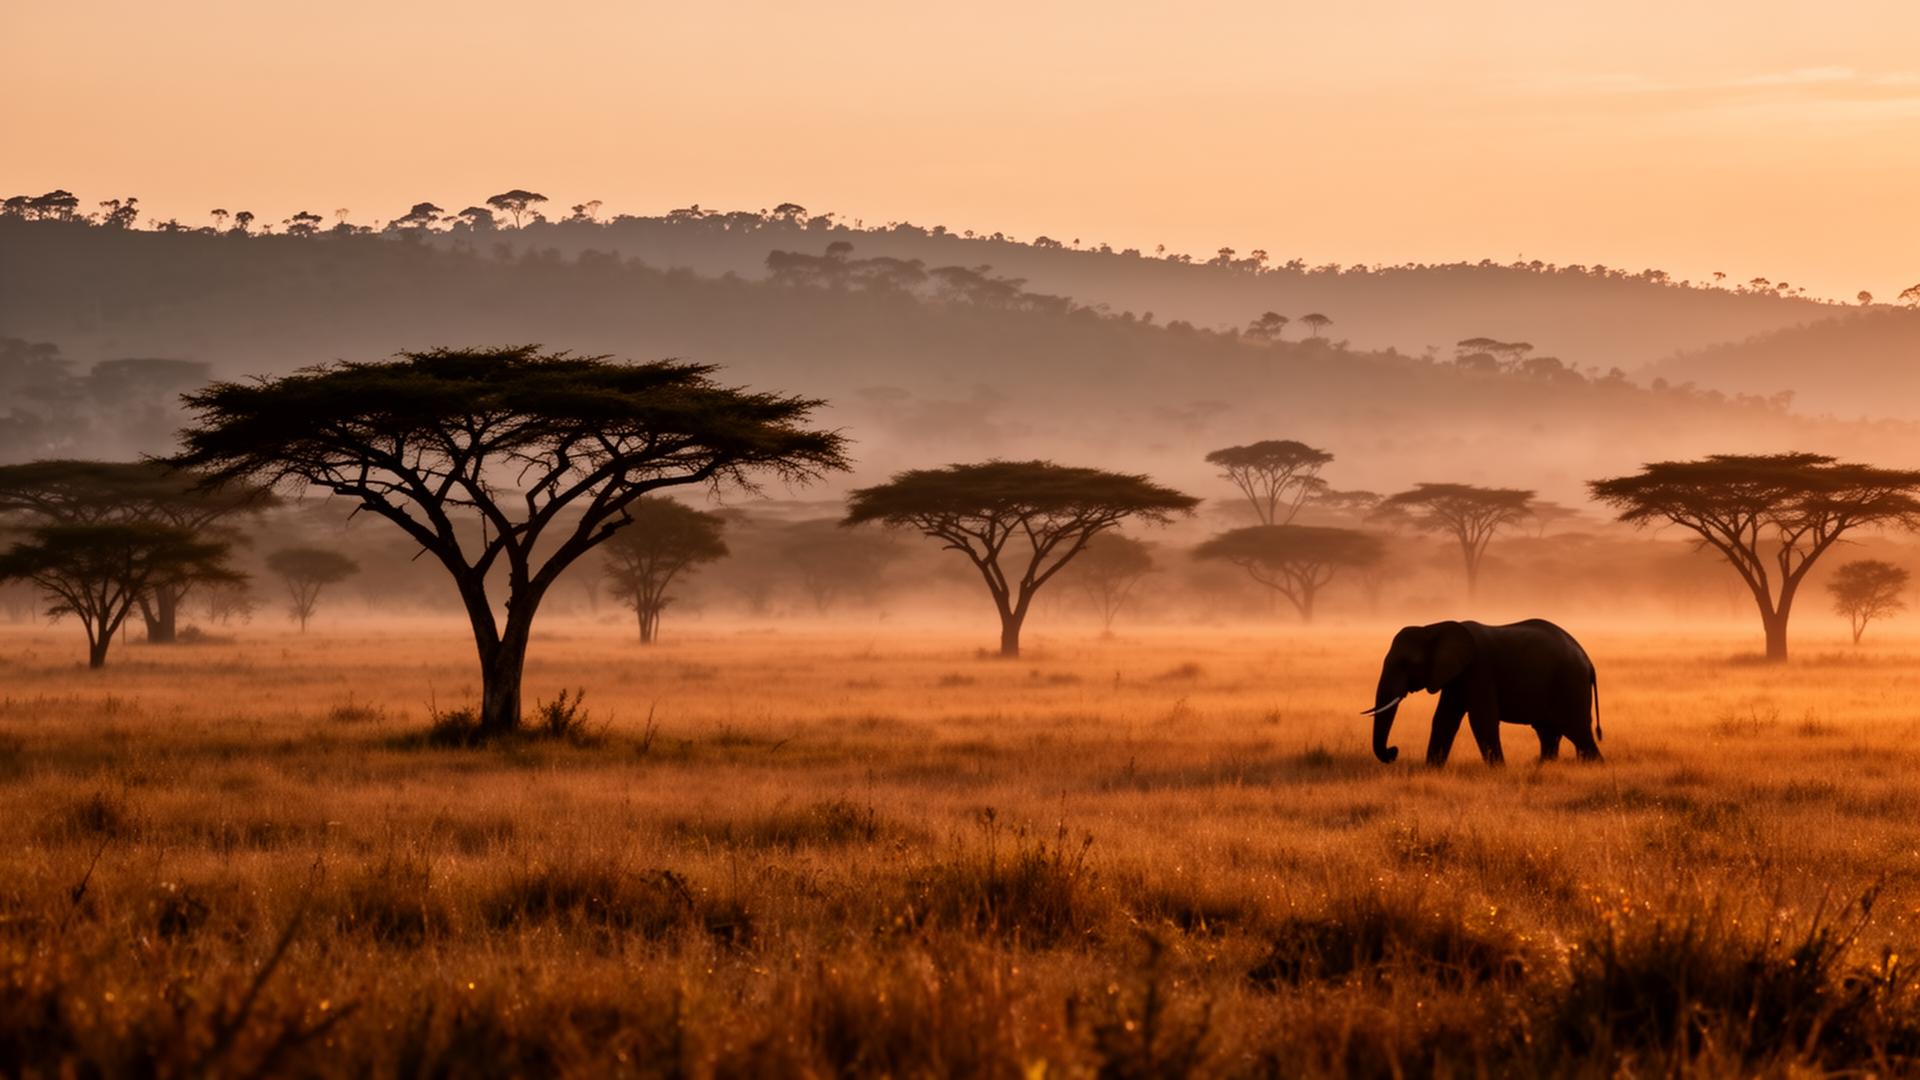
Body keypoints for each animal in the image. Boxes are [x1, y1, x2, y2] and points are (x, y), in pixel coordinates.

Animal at [1363, 619, 1600, 766]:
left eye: (1406, 664)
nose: (1393, 751)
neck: (1433, 627)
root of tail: (1589, 662)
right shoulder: (1456, 677)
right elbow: (1444, 719)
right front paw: (1431, 769)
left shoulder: (1479, 669)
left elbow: (1482, 719)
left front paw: (1499, 771)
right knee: (1549, 732)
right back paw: (1543, 766)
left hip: (1570, 684)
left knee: (1578, 731)